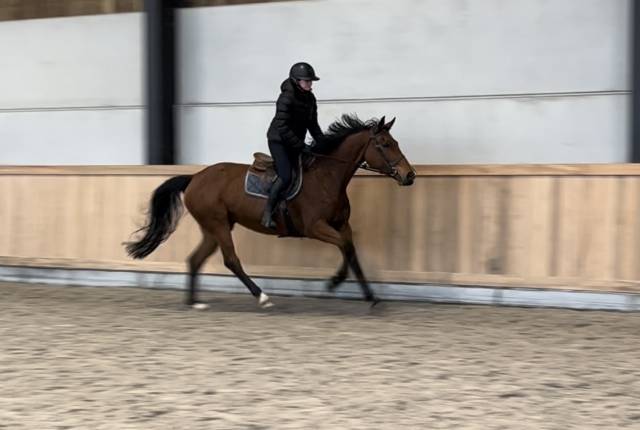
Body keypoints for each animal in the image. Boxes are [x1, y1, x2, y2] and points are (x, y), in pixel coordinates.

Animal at [125, 114, 416, 309]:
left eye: (395, 141)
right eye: (385, 144)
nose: (409, 175)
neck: (327, 177)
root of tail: (194, 177)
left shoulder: (342, 225)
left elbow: (351, 251)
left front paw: (371, 297)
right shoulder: (315, 227)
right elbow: (345, 247)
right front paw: (334, 283)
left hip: (213, 227)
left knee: (195, 259)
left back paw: (194, 302)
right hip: (217, 224)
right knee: (231, 260)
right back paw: (262, 296)